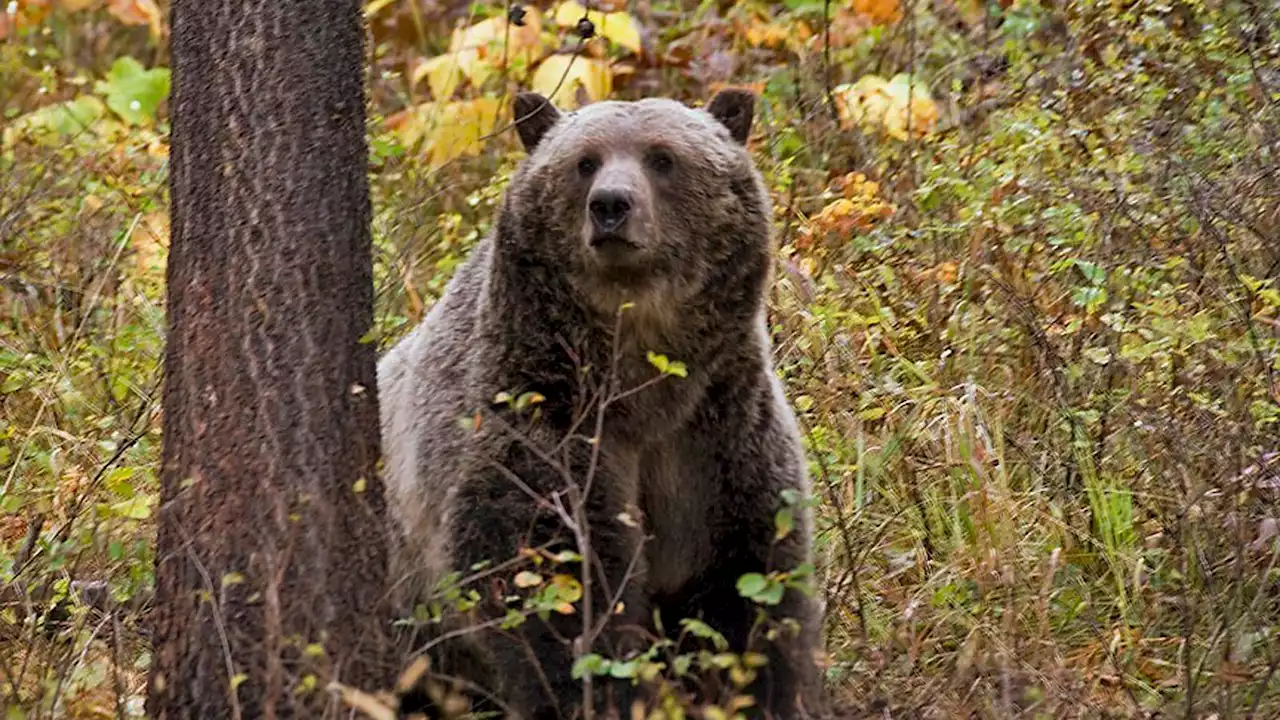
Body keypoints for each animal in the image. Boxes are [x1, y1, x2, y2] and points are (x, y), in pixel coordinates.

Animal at [376, 87, 819, 712]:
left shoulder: (717, 434)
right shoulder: (541, 416)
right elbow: (553, 584)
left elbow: (747, 587)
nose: (610, 205)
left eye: (662, 157)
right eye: (584, 161)